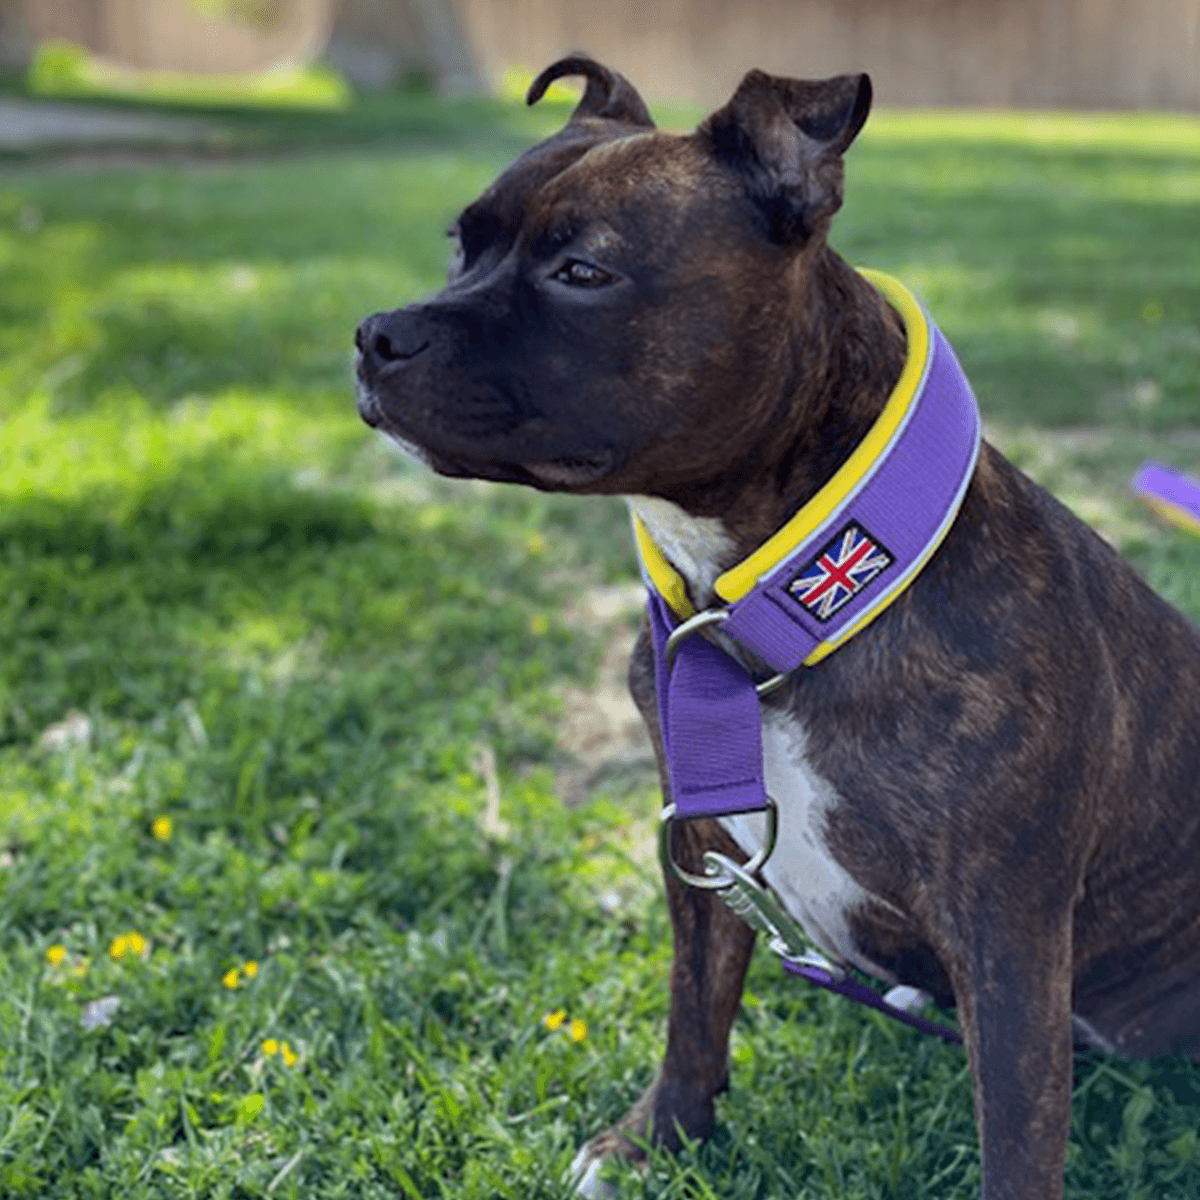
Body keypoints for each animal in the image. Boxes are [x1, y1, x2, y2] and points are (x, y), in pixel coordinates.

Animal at [350, 54, 1200, 1200]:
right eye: (461, 243)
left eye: (583, 271)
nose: (376, 335)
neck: (783, 600)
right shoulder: (702, 852)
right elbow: (695, 1010)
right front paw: (660, 1138)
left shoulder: (1010, 933)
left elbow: (1017, 1133)